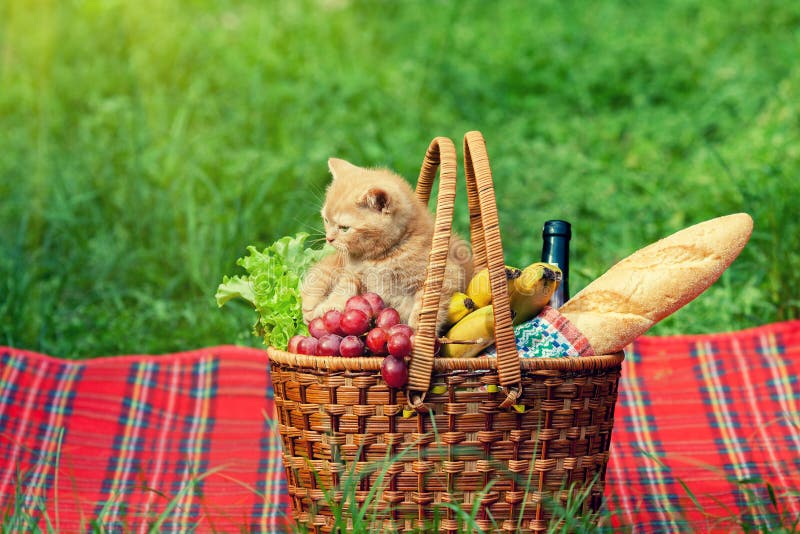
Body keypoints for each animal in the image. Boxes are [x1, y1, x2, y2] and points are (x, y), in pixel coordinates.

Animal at [304, 159, 472, 332]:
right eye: (326, 220)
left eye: (344, 228)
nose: (328, 238)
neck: (379, 257)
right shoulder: (352, 274)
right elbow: (343, 288)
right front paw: (328, 307)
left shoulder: (445, 275)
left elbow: (423, 309)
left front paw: (416, 334)